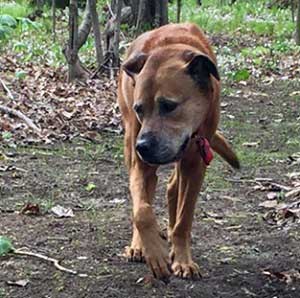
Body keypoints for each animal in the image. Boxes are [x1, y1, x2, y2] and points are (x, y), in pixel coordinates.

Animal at [117, 23, 239, 282]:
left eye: (169, 105)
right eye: (139, 109)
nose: (142, 146)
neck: (169, 50)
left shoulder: (196, 163)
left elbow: (184, 218)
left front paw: (182, 259)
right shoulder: (140, 165)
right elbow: (142, 210)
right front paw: (155, 252)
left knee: (173, 186)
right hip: (131, 146)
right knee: (148, 191)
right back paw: (139, 246)